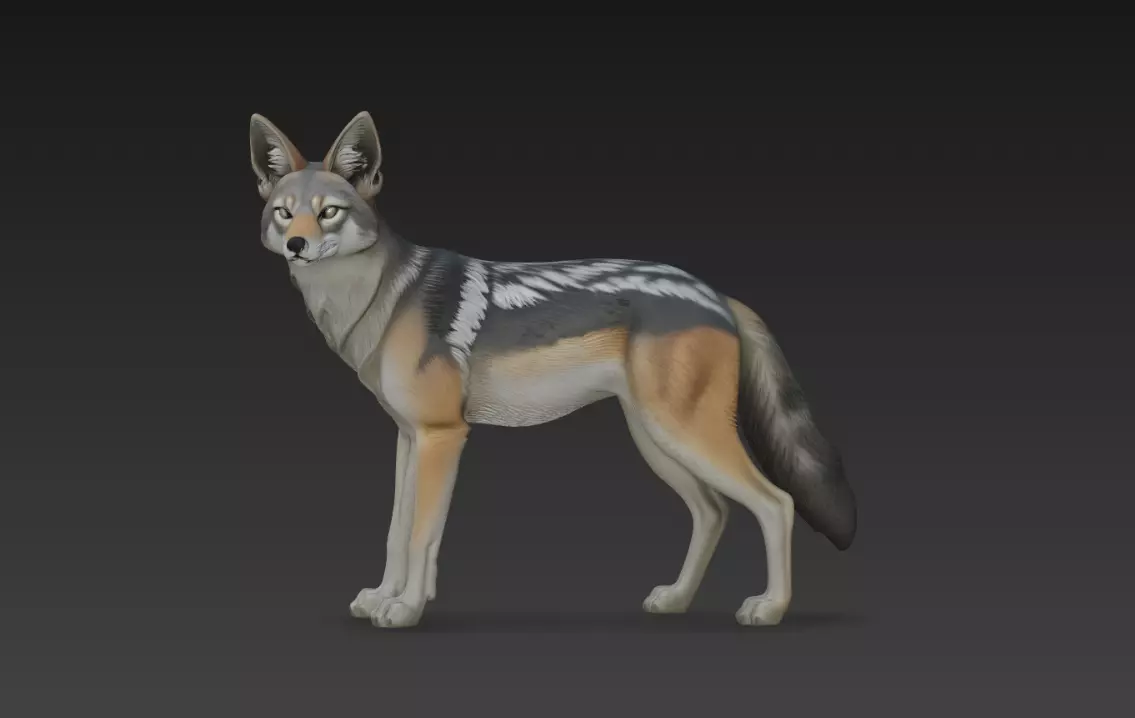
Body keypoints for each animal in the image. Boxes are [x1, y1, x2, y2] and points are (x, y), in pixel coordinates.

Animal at [249, 111, 857, 629]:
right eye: (284, 212)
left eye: (330, 212)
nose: (298, 244)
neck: (379, 298)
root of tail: (719, 295)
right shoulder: (407, 437)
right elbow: (396, 532)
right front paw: (381, 597)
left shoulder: (443, 436)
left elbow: (422, 534)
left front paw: (407, 608)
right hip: (657, 441)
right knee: (714, 512)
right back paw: (677, 599)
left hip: (684, 436)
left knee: (776, 503)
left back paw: (770, 608)